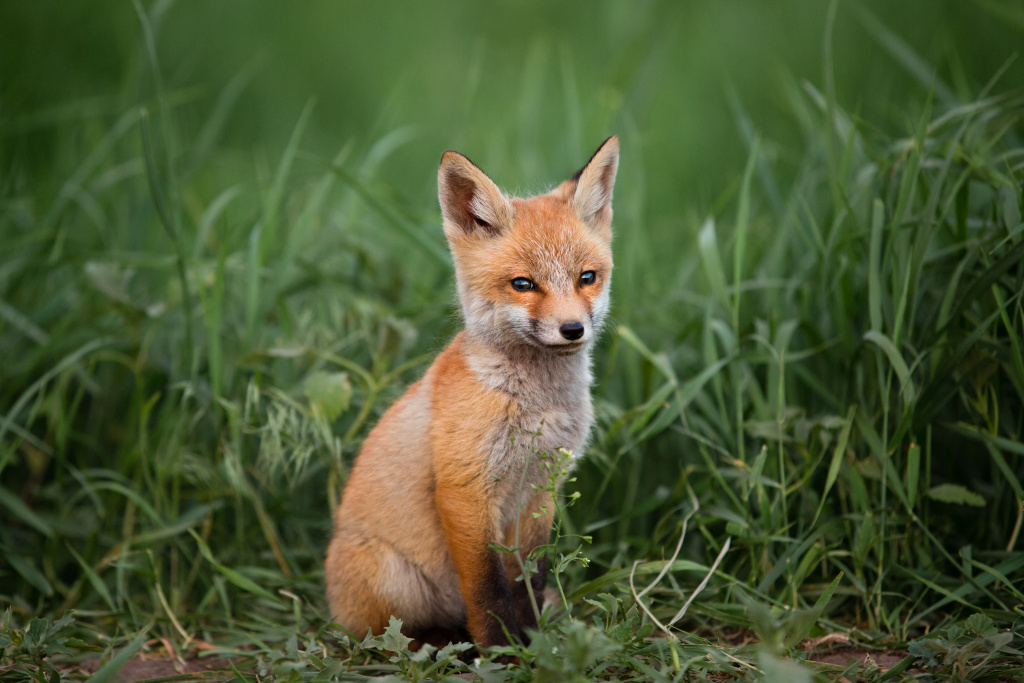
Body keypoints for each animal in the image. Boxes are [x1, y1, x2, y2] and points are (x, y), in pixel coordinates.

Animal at [325, 136, 619, 650]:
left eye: (587, 277)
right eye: (523, 284)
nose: (572, 329)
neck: (536, 406)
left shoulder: (541, 488)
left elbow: (528, 578)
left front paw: (535, 641)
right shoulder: (464, 490)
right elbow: (488, 588)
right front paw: (502, 651)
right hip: (394, 580)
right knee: (386, 636)